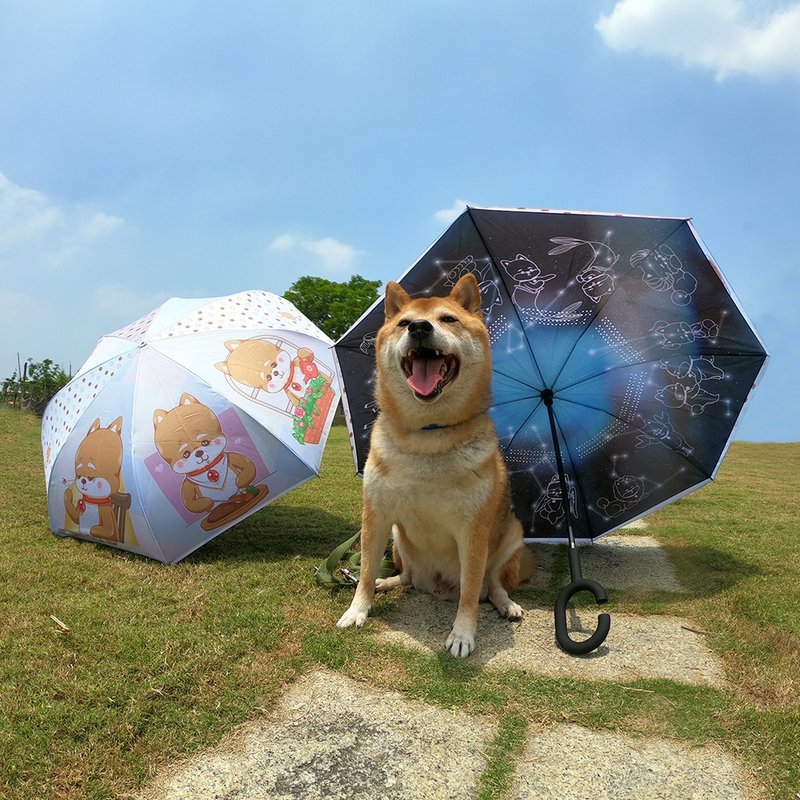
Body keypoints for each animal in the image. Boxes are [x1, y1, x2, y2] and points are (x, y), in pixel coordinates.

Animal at [334, 276, 536, 656]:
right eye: (403, 323)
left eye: (448, 319)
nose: (419, 327)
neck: (428, 436)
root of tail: (438, 586)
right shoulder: (377, 515)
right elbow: (365, 569)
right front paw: (357, 609)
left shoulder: (473, 531)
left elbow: (471, 591)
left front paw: (462, 635)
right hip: (397, 539)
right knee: (407, 577)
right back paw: (387, 582)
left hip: (512, 535)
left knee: (493, 584)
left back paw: (507, 605)